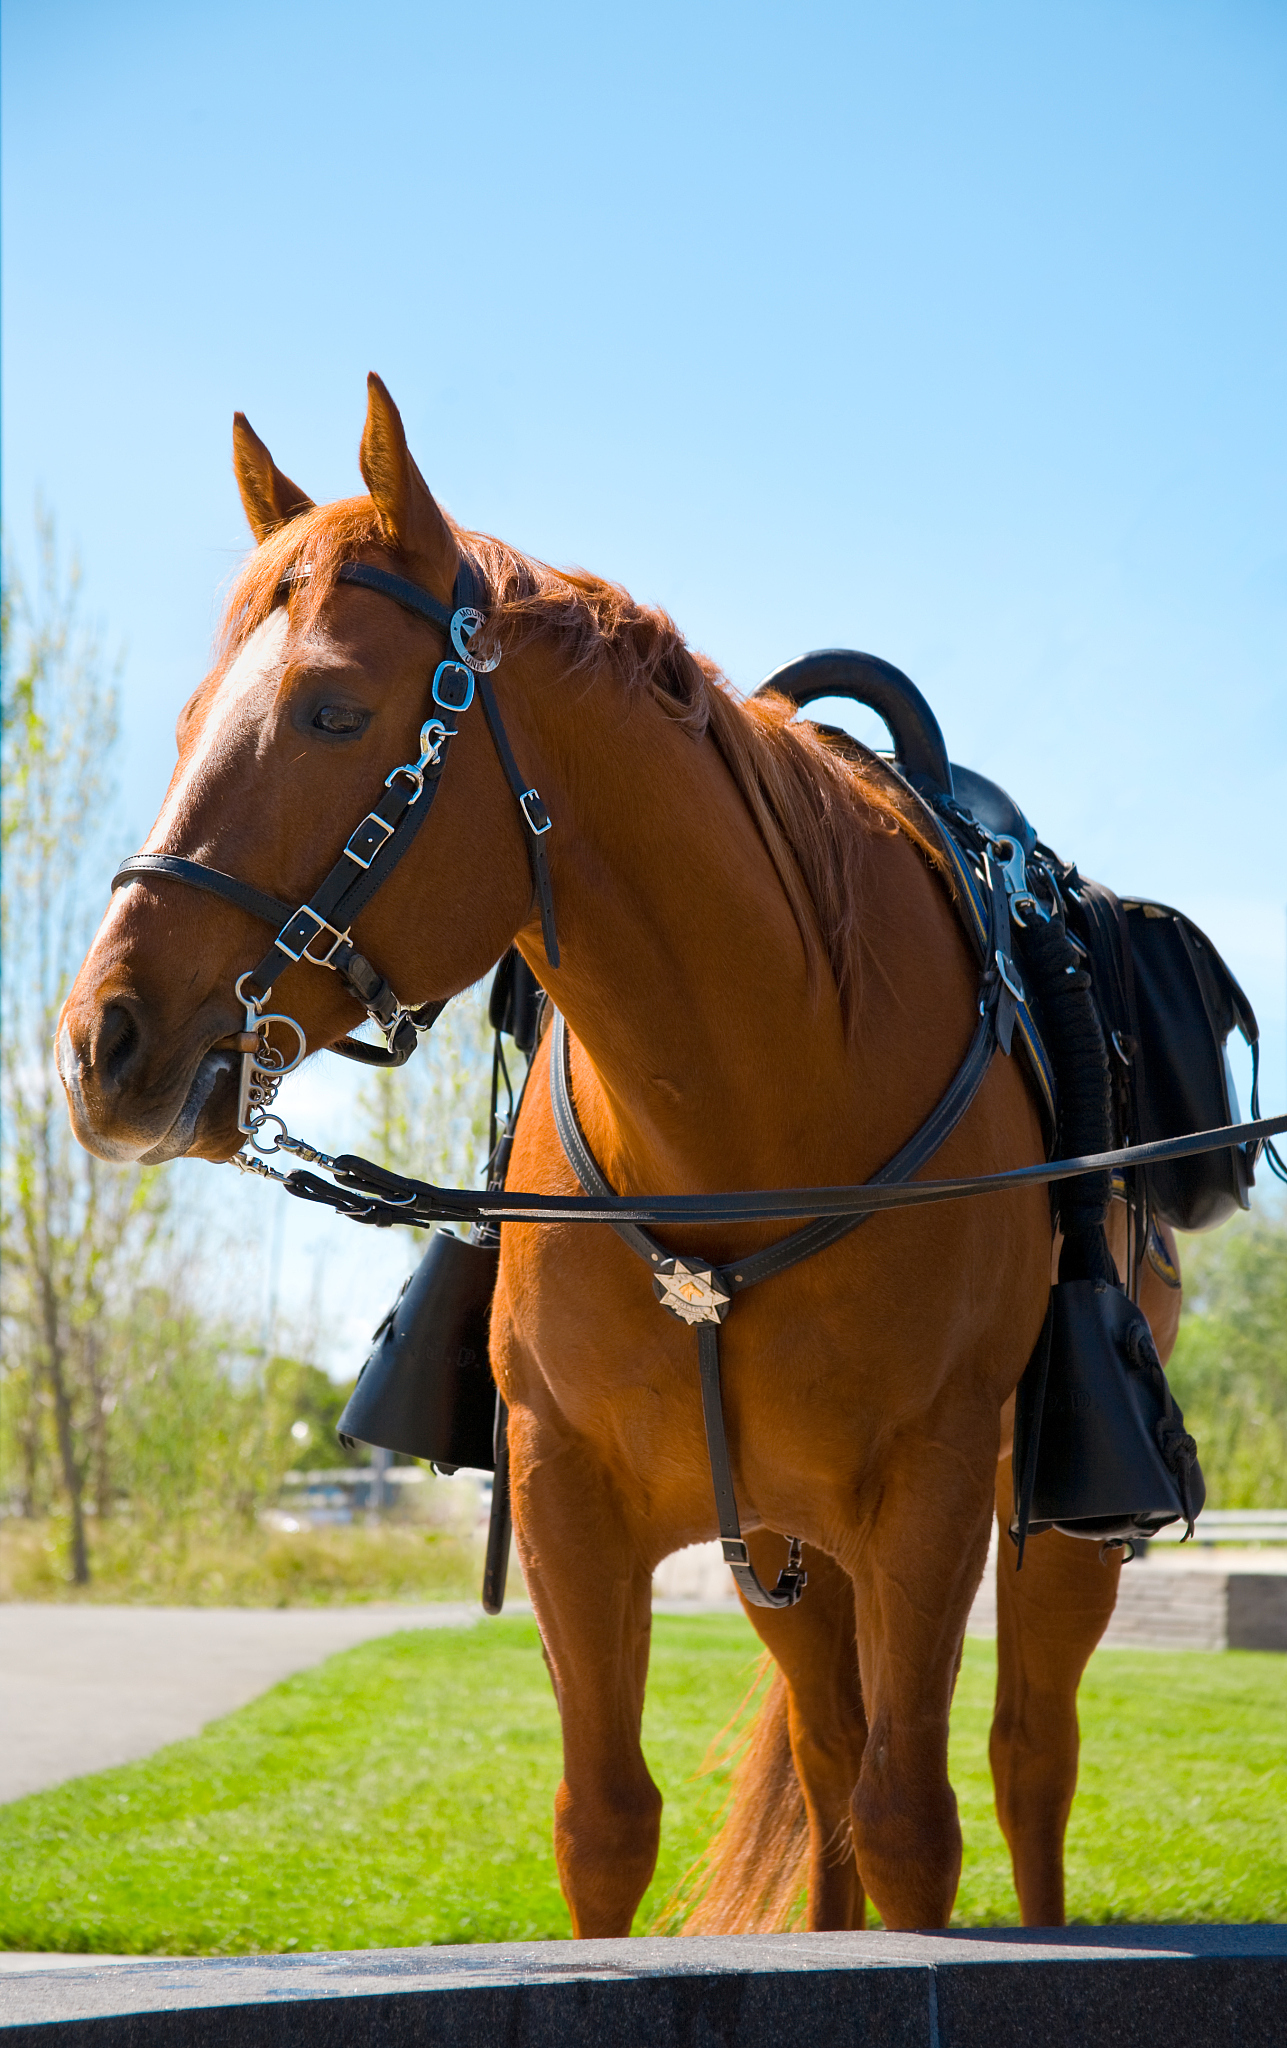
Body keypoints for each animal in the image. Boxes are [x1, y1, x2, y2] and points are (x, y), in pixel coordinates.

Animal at [60, 374, 1182, 1935]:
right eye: (184, 721)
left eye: (334, 709)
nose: (99, 1042)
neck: (748, 1116)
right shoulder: (567, 1498)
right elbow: (607, 1824)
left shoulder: (934, 1490)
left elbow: (914, 1824)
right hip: (786, 1554)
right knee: (828, 1759)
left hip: (1043, 1536)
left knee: (1025, 1758)